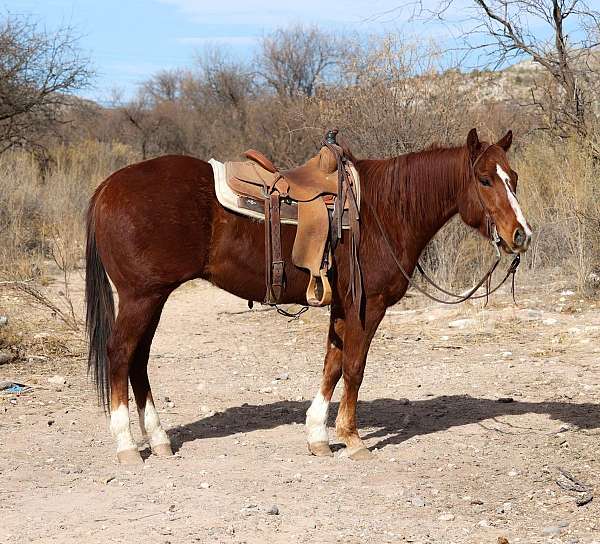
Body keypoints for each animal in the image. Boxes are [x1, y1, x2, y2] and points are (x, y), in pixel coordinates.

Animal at [83, 126, 528, 464]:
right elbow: (354, 368)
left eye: (514, 178)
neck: (383, 210)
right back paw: (127, 445)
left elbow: (332, 365)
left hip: (153, 298)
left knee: (138, 361)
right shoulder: (367, 306)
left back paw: (158, 440)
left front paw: (318, 435)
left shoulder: (342, 306)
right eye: (485, 180)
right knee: (120, 355)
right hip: (141, 297)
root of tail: (107, 186)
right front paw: (352, 438)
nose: (520, 235)